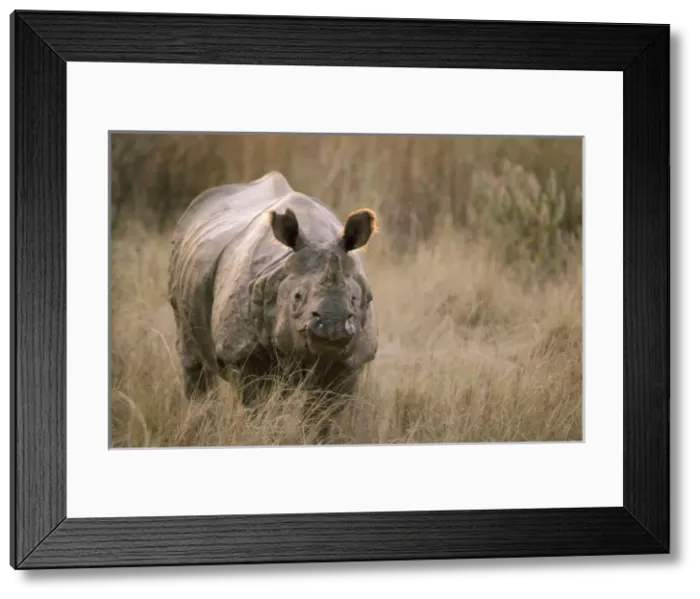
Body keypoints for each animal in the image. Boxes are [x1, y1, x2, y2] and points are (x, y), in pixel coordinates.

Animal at [167, 170, 379, 420]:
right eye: (297, 297)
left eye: (354, 300)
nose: (332, 325)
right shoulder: (242, 350)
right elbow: (258, 403)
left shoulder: (351, 360)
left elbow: (324, 415)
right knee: (193, 359)